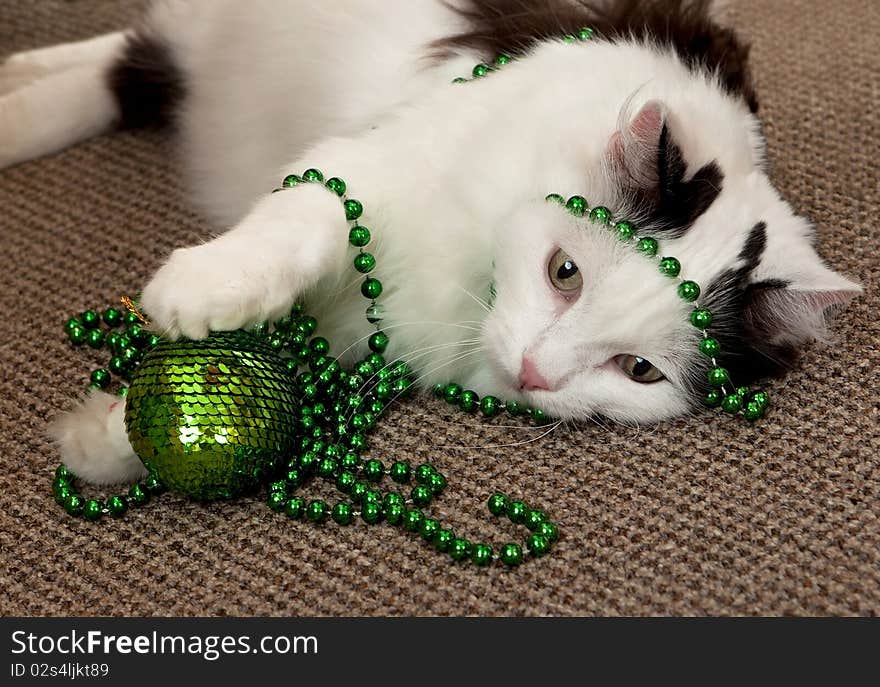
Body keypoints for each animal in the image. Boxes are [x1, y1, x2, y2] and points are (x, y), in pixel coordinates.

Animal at [3, 1, 864, 484]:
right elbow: (297, 229)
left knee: (129, 63)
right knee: (124, 51)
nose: (535, 373)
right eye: (565, 272)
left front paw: (109, 437)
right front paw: (203, 292)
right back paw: (17, 95)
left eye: (639, 371)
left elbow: (270, 377)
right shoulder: (362, 171)